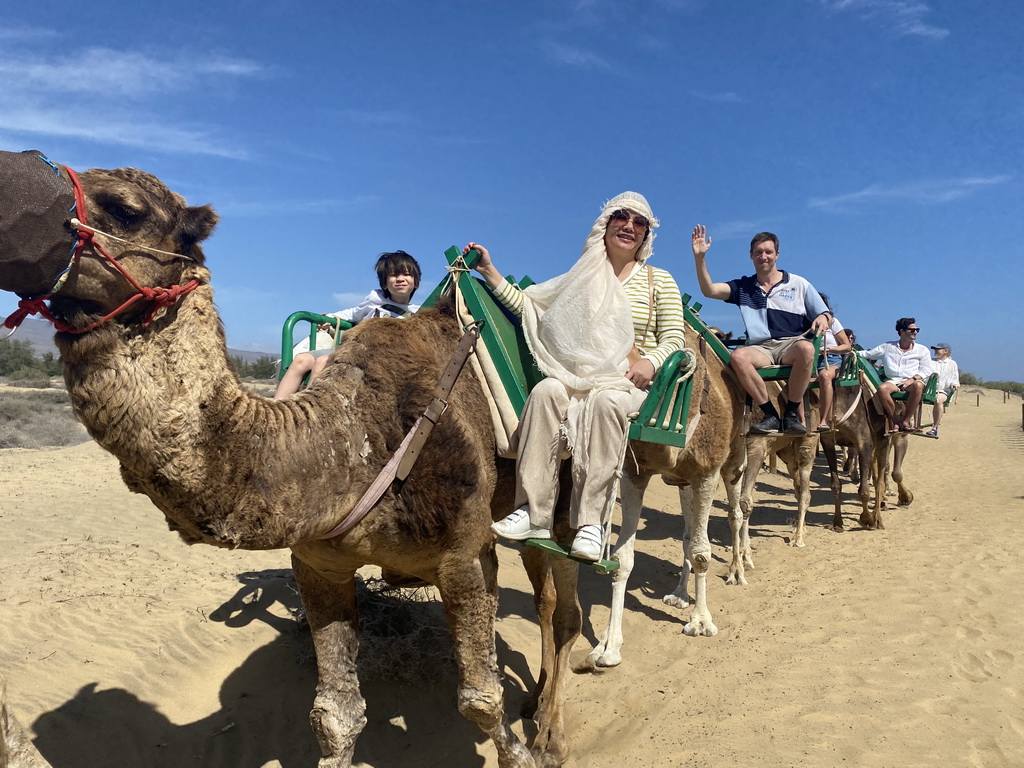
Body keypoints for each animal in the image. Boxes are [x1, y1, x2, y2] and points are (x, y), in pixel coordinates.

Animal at [0, 165, 540, 768]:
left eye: (124, 207)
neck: (360, 443)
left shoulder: (463, 557)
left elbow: (481, 700)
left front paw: (523, 753)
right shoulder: (319, 564)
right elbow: (335, 716)